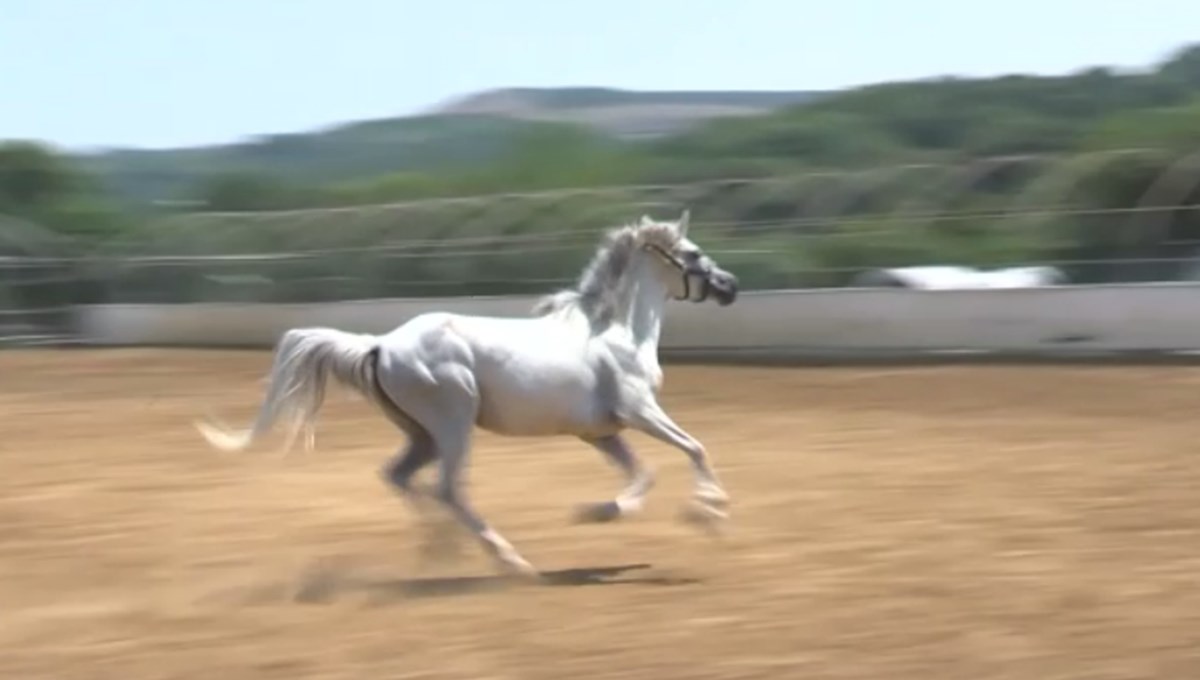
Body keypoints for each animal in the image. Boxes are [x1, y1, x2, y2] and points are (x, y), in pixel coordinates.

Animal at [194, 209, 739, 578]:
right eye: (692, 254)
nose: (730, 285)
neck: (615, 331)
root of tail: (381, 344)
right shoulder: (639, 410)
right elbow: (695, 449)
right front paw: (709, 514)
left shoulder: (600, 432)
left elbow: (643, 473)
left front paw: (601, 512)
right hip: (453, 425)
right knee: (447, 489)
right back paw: (508, 559)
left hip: (421, 433)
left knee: (399, 477)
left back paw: (440, 548)